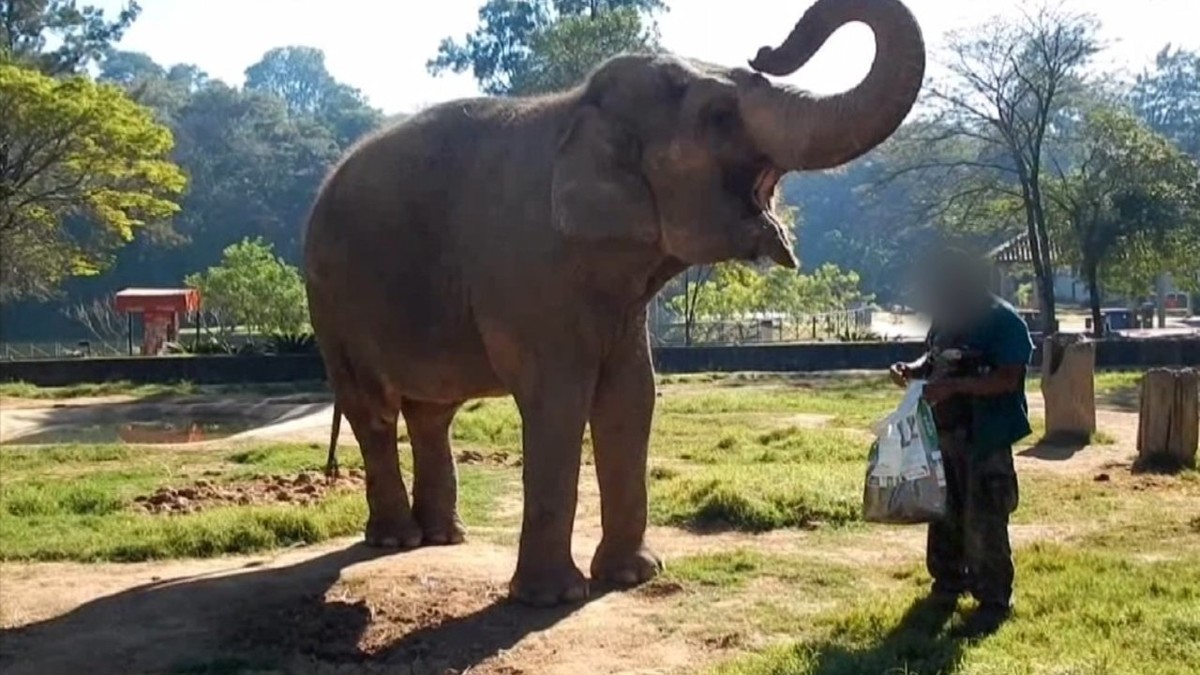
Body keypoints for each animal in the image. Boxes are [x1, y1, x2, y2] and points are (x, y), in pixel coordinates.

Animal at [304, 0, 921, 605]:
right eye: (719, 116)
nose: (766, 49)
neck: (578, 110)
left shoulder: (621, 307)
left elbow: (632, 397)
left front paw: (633, 576)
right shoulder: (528, 272)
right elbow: (558, 403)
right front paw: (553, 598)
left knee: (432, 412)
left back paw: (443, 537)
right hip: (332, 305)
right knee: (374, 411)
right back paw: (396, 539)